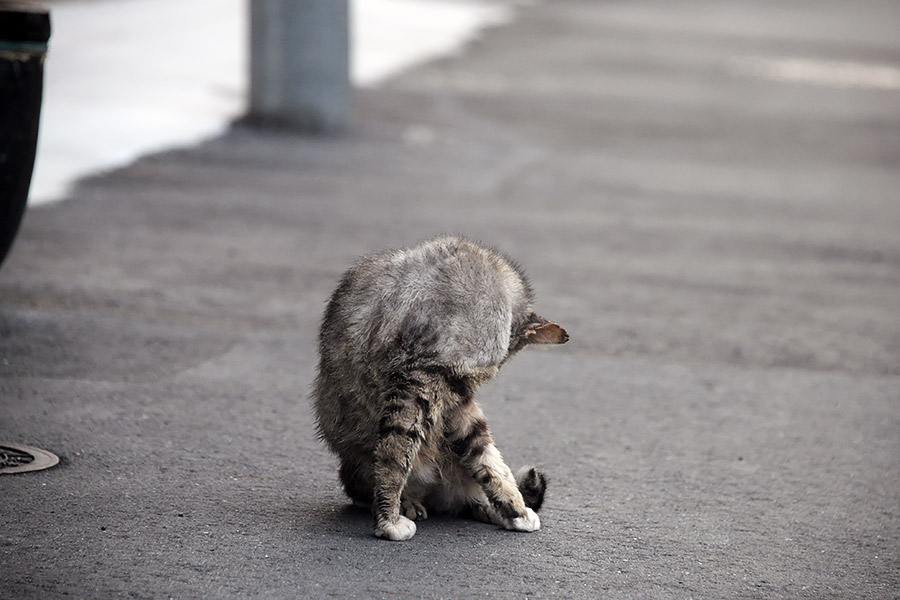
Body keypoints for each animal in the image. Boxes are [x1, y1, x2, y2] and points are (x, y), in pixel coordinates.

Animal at [312, 237, 568, 540]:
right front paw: (388, 521)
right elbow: (395, 456)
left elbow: (488, 458)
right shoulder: (422, 379)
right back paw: (407, 504)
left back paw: (484, 507)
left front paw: (514, 509)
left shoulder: (455, 397)